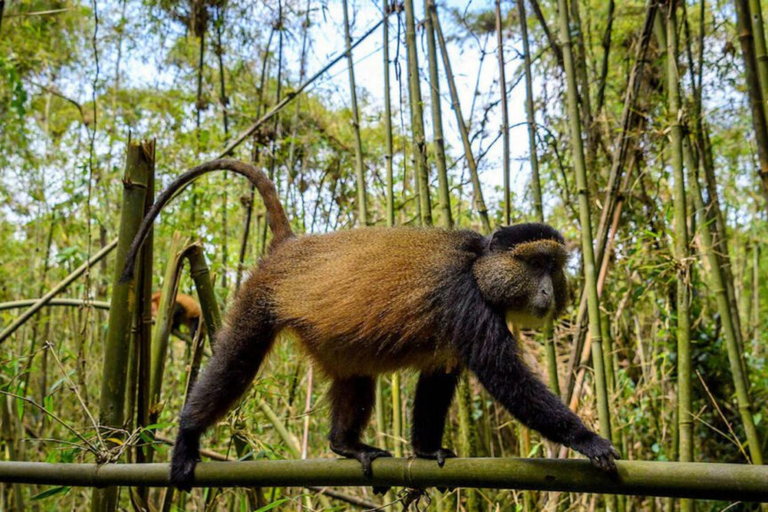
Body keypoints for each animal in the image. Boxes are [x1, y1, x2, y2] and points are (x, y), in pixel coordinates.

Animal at [121, 159, 619, 491]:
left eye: (553, 267)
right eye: (535, 263)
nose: (548, 291)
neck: (479, 268)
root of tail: (289, 247)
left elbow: (438, 381)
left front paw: (426, 451)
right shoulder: (466, 301)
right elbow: (507, 379)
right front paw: (588, 439)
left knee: (355, 378)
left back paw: (347, 446)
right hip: (258, 301)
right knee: (234, 365)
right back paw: (187, 437)